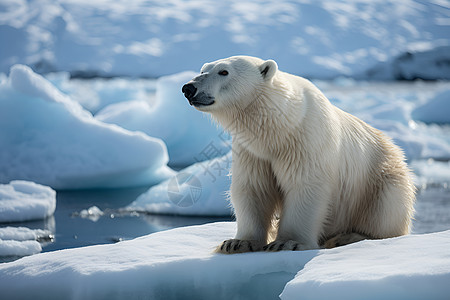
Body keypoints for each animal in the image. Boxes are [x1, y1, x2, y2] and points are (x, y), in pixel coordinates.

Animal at [182, 56, 414, 253]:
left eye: (224, 71)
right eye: (203, 69)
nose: (188, 88)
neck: (280, 128)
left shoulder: (305, 141)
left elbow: (305, 185)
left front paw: (287, 242)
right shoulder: (252, 152)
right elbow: (254, 188)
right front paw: (237, 242)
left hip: (380, 179)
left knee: (386, 211)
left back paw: (347, 237)